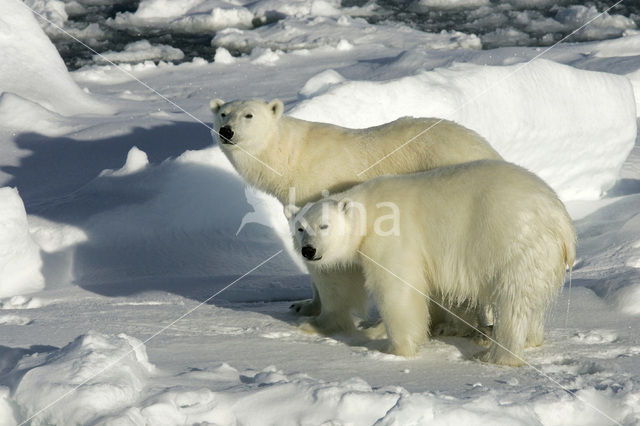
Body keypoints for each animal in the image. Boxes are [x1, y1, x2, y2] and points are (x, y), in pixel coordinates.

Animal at [209, 98, 500, 334]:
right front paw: (304, 305)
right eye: (223, 113)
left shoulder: (317, 185)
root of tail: (488, 149)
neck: (290, 157)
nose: (227, 131)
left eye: (249, 115)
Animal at [286, 161, 576, 366]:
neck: (370, 210)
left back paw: (497, 356)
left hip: (513, 240)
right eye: (300, 228)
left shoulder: (394, 240)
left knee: (513, 298)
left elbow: (398, 289)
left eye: (324, 225)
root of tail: (560, 218)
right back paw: (530, 340)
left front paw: (395, 348)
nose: (309, 250)